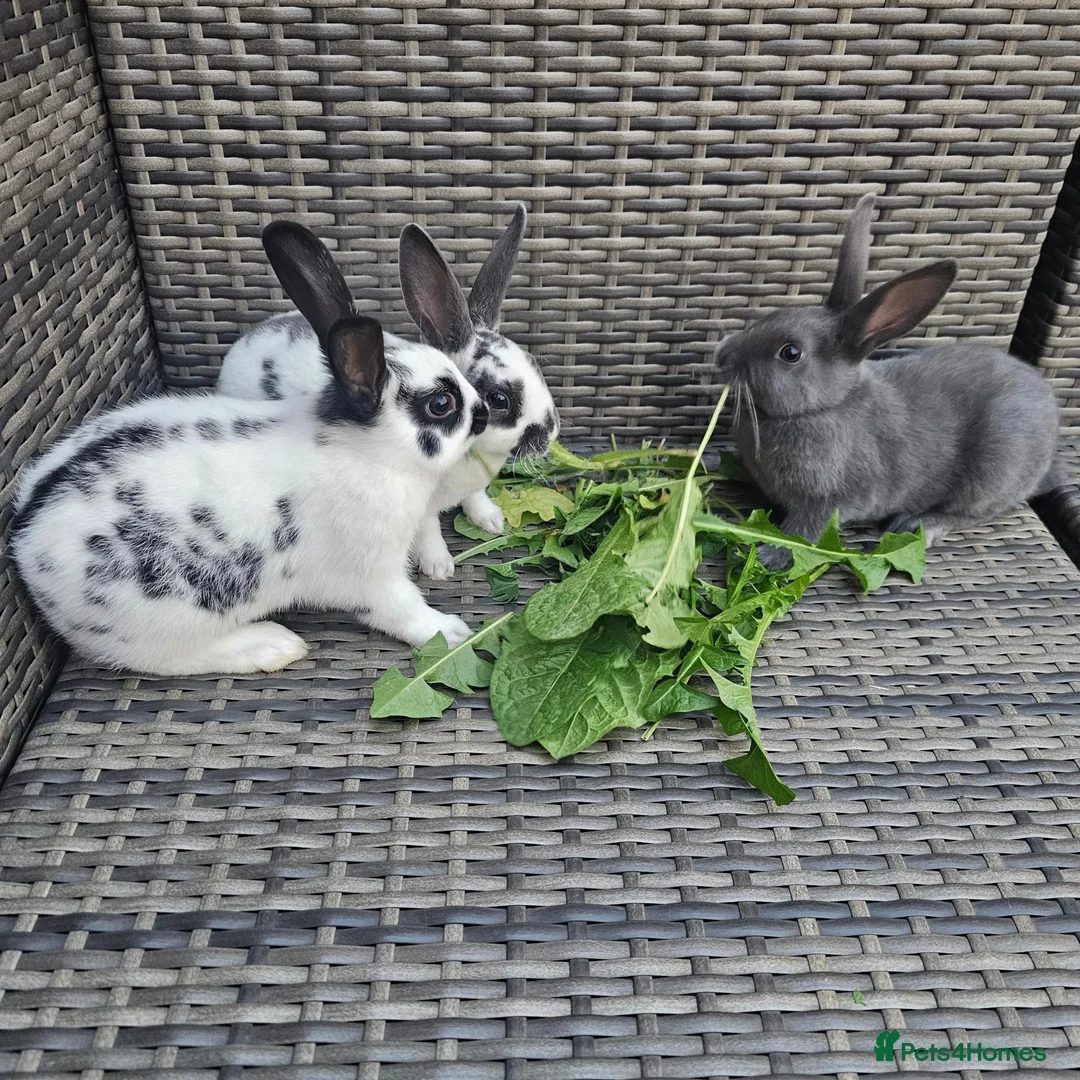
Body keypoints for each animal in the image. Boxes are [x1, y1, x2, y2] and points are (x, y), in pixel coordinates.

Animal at [9, 221, 490, 676]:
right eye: (441, 404)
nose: (484, 412)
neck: (368, 451)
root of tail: (23, 541)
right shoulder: (373, 575)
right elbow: (403, 610)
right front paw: (452, 632)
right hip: (164, 618)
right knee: (164, 658)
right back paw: (271, 645)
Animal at [217, 205, 559, 580]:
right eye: (499, 399)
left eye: (534, 364)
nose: (549, 434)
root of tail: (241, 346)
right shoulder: (418, 507)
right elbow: (428, 529)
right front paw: (439, 566)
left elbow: (474, 497)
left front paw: (491, 520)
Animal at [714, 191, 1061, 570]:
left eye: (790, 352)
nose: (722, 355)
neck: (825, 406)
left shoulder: (828, 501)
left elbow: (804, 531)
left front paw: (768, 554)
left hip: (993, 473)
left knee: (973, 512)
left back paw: (919, 524)